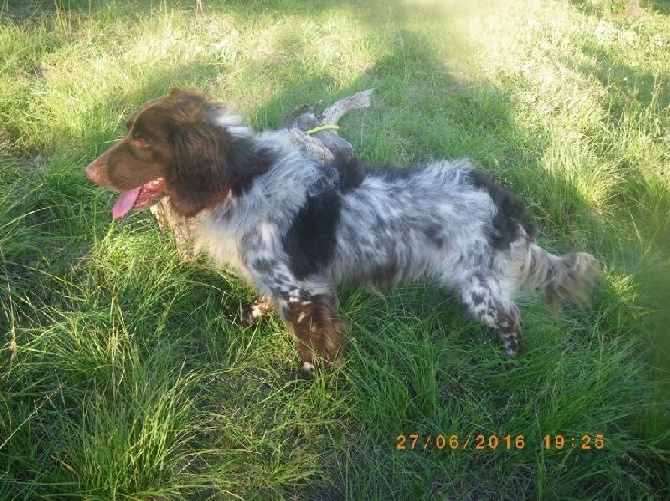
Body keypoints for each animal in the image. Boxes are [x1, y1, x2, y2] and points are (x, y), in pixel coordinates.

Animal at [85, 89, 604, 376]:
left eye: (143, 141)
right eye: (130, 132)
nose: (89, 171)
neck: (241, 179)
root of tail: (505, 205)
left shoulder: (302, 291)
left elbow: (311, 343)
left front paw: (309, 377)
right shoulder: (283, 280)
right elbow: (265, 302)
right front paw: (251, 315)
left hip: (481, 289)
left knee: (512, 320)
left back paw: (511, 360)